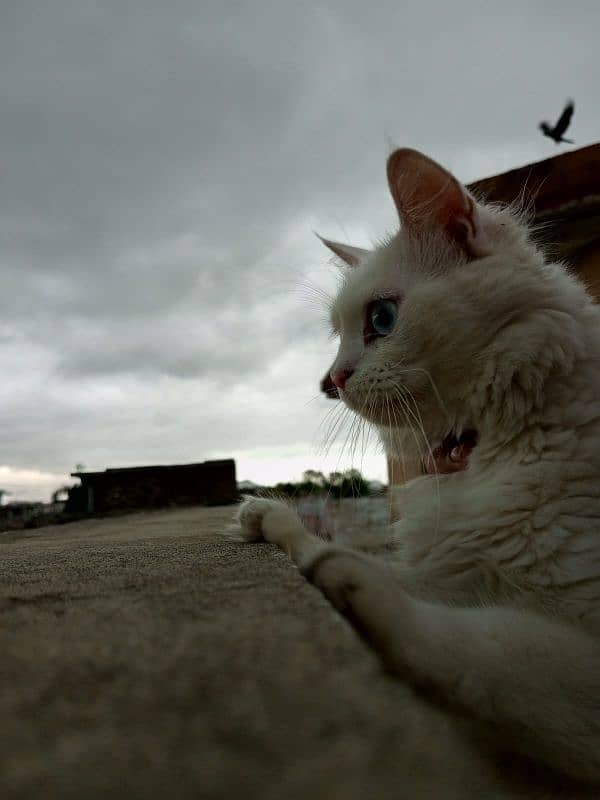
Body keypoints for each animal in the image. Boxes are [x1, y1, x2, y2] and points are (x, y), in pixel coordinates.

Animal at [232, 147, 600, 784]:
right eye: (337, 336)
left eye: (381, 319)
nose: (331, 381)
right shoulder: (453, 571)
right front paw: (274, 521)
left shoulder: (575, 648)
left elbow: (474, 646)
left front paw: (351, 585)